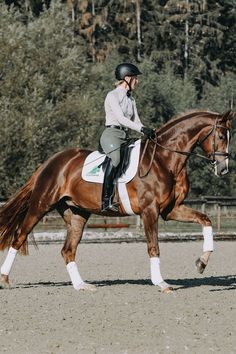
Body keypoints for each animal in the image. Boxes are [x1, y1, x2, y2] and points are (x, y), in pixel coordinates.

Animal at [0, 110, 232, 294]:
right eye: (221, 135)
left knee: (68, 250)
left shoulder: (171, 210)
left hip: (77, 214)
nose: (224, 169)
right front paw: (161, 283)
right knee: (18, 238)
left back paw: (81, 286)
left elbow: (206, 220)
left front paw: (202, 263)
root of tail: (50, 162)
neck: (164, 159)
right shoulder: (150, 211)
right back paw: (4, 279)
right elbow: (154, 246)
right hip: (41, 205)